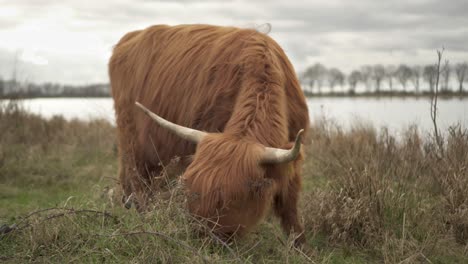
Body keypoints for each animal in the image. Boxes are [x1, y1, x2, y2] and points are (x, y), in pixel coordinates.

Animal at [109, 24, 310, 243]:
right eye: (190, 189)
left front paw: (299, 243)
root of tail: (132, 36)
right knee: (137, 181)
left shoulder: (291, 160)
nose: (198, 235)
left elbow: (289, 207)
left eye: (228, 199)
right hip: (132, 139)